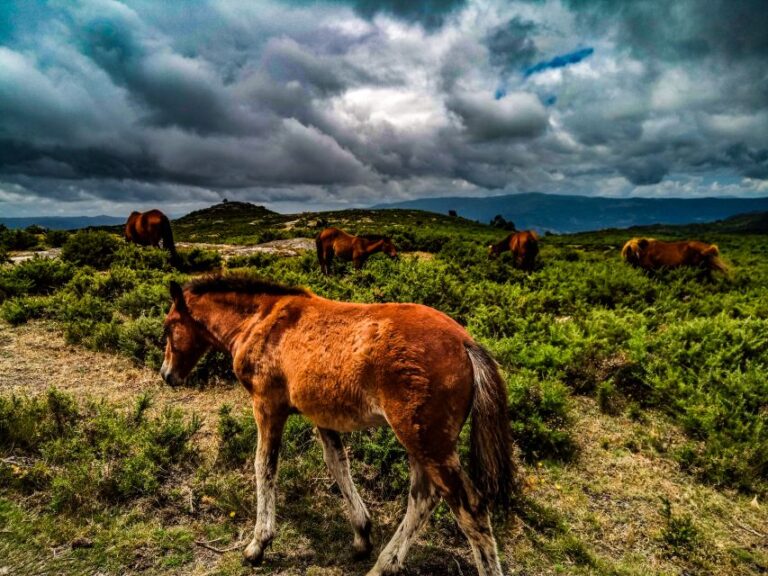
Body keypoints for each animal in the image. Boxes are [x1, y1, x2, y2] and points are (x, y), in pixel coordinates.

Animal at [159, 274, 520, 576]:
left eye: (168, 326)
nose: (167, 375)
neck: (261, 321)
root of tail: (466, 343)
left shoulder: (267, 405)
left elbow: (264, 465)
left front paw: (258, 544)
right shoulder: (321, 415)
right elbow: (338, 464)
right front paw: (361, 534)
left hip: (425, 439)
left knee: (469, 507)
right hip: (422, 440)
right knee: (425, 496)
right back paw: (384, 565)